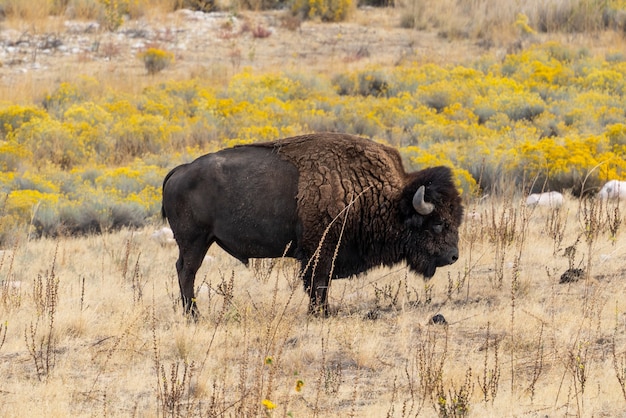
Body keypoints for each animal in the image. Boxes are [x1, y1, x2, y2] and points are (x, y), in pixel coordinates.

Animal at [161, 134, 464, 316]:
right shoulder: (319, 250)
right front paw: (321, 312)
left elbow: (322, 284)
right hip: (194, 241)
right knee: (187, 272)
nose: (453, 256)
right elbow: (318, 283)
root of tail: (180, 170)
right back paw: (193, 315)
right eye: (437, 223)